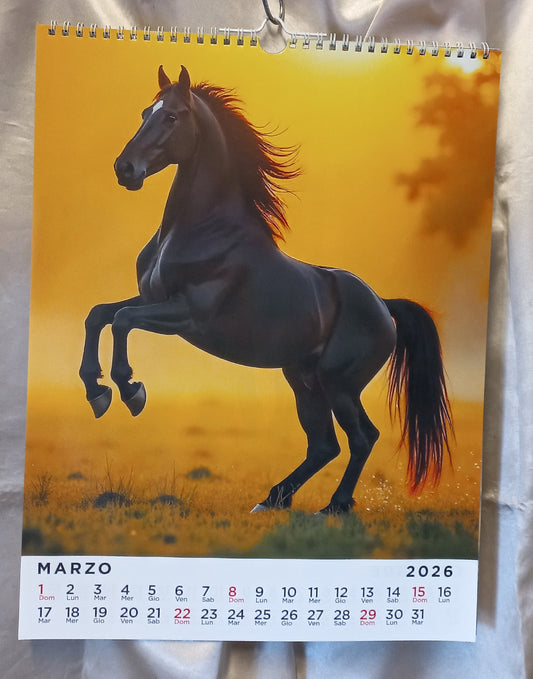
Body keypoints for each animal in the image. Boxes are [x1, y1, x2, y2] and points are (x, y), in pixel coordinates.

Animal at [79, 65, 453, 514]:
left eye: (171, 117)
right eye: (143, 113)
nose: (125, 169)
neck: (202, 229)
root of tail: (384, 306)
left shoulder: (187, 315)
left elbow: (121, 320)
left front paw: (130, 391)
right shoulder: (155, 300)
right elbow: (99, 313)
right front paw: (96, 390)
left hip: (338, 383)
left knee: (362, 437)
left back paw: (333, 507)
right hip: (303, 380)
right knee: (324, 445)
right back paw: (273, 500)